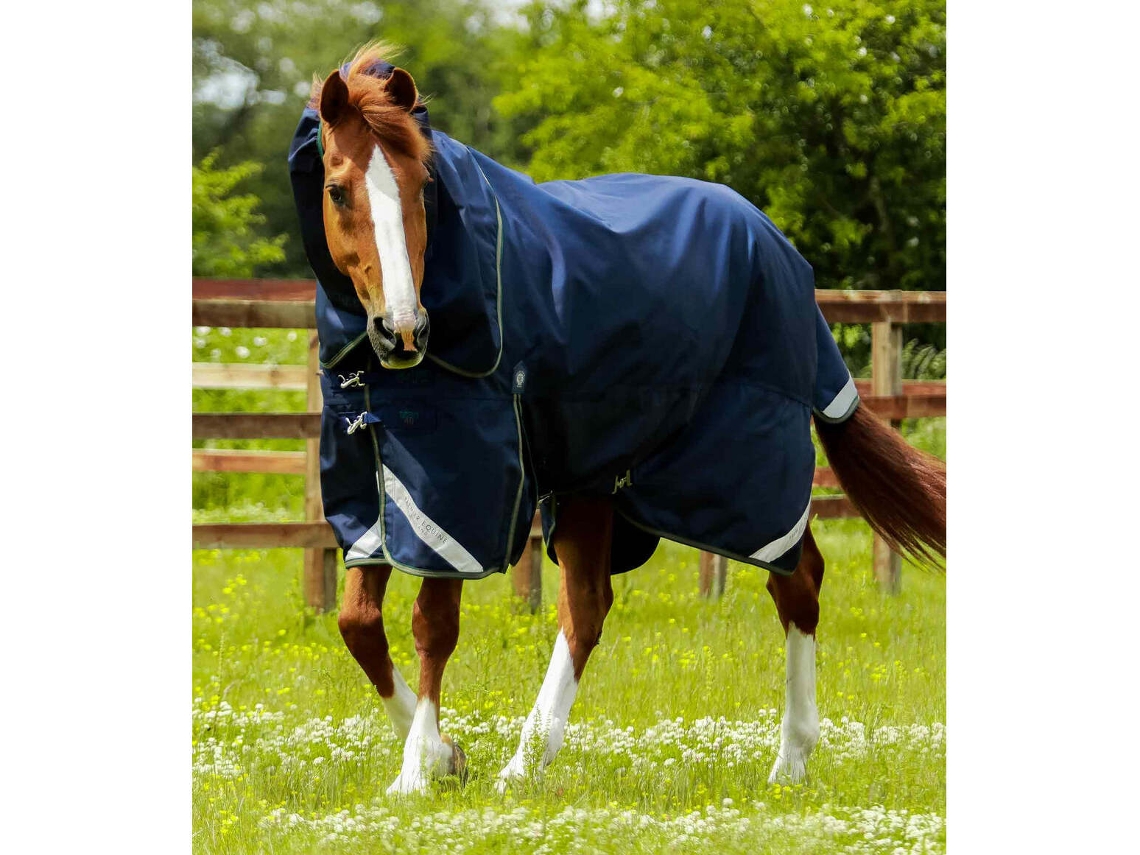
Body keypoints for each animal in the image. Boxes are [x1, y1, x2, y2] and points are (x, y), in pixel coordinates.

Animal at [287, 43, 946, 797]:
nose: (403, 330)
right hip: (596, 477)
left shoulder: (460, 493)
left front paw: (417, 770)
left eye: (421, 183)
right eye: (339, 189)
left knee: (796, 579)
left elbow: (433, 624)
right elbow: (358, 622)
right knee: (589, 605)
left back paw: (786, 761)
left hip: (742, 468)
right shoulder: (375, 487)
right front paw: (445, 755)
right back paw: (529, 762)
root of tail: (780, 251)